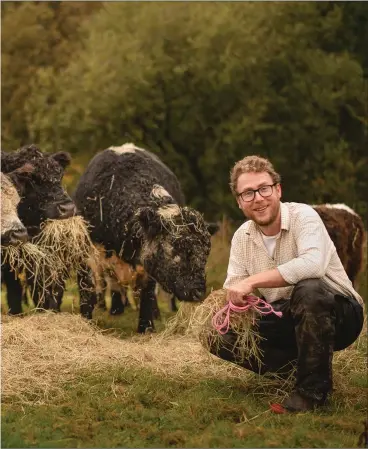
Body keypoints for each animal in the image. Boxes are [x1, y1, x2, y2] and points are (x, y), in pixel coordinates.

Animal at [73, 144, 213, 332]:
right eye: (177, 248)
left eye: (206, 253)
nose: (198, 292)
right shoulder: (88, 252)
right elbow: (87, 291)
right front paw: (86, 322)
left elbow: (147, 294)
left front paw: (146, 327)